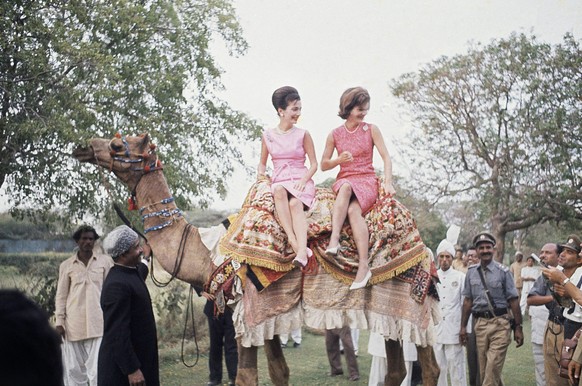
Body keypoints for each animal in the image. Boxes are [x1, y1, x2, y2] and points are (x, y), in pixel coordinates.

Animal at [73, 133, 440, 386]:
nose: (84, 146)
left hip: (411, 305)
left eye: (117, 146)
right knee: (396, 369)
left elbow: (246, 377)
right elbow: (279, 371)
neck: (209, 251)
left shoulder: (247, 310)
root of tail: (425, 249)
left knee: (430, 367)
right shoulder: (266, 312)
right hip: (387, 312)